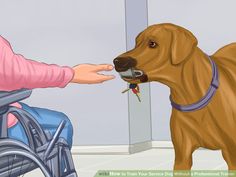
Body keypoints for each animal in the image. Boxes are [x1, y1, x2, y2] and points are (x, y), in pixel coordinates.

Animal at [113, 23, 236, 170]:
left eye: (152, 43)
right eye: (136, 43)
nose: (117, 61)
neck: (190, 96)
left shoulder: (232, 155)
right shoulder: (182, 157)